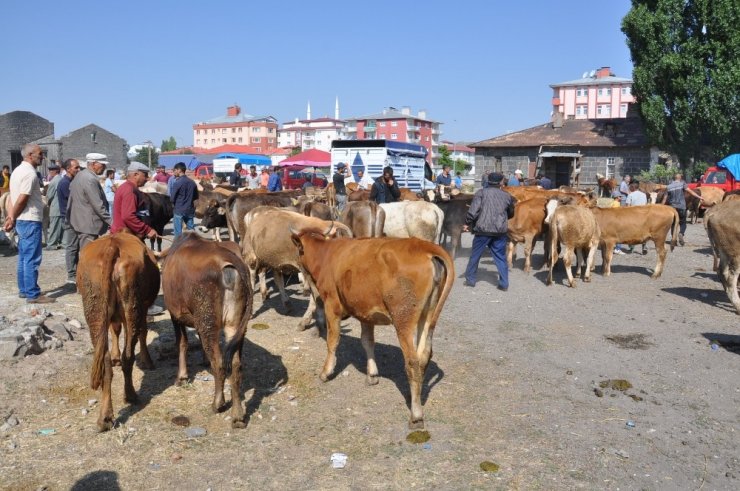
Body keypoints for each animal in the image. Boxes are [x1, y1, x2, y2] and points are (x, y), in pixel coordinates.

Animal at [77, 234, 160, 430]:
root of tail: (112, 245)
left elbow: (115, 331)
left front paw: (115, 356)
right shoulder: (144, 308)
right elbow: (143, 333)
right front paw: (147, 361)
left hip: (96, 311)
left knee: (105, 360)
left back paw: (105, 417)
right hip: (133, 308)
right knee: (128, 355)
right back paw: (130, 396)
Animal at [162, 233, 254, 428]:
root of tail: (232, 264)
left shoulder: (175, 313)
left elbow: (182, 343)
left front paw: (181, 377)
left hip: (207, 319)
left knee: (218, 362)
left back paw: (217, 403)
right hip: (235, 324)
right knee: (235, 364)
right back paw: (238, 416)